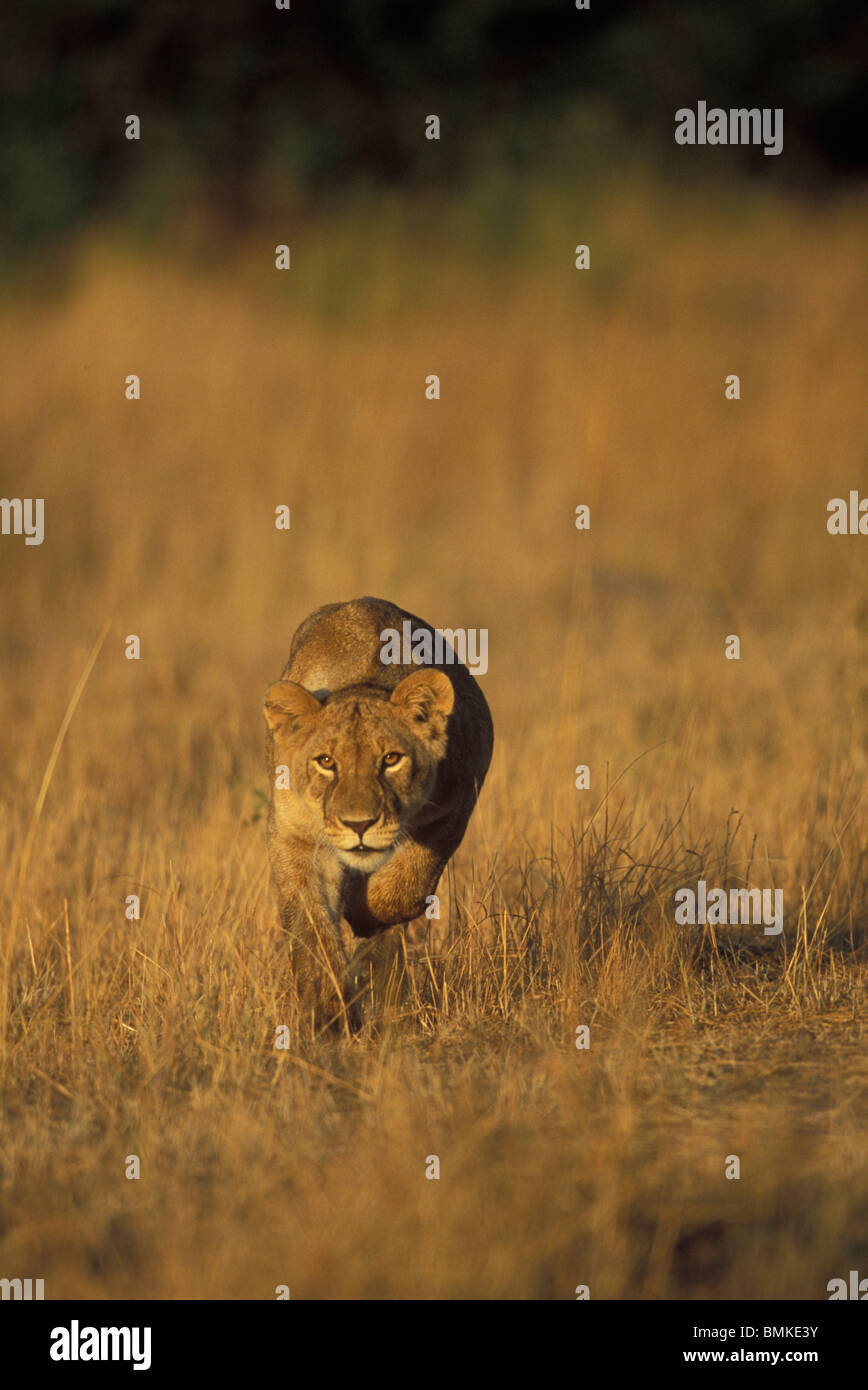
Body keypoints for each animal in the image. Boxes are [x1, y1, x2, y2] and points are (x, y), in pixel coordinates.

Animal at [263, 597, 493, 1030]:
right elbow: (312, 927)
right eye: (326, 762)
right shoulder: (296, 835)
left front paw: (363, 913)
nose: (359, 825)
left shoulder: (455, 806)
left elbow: (405, 888)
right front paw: (331, 1014)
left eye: (390, 759)